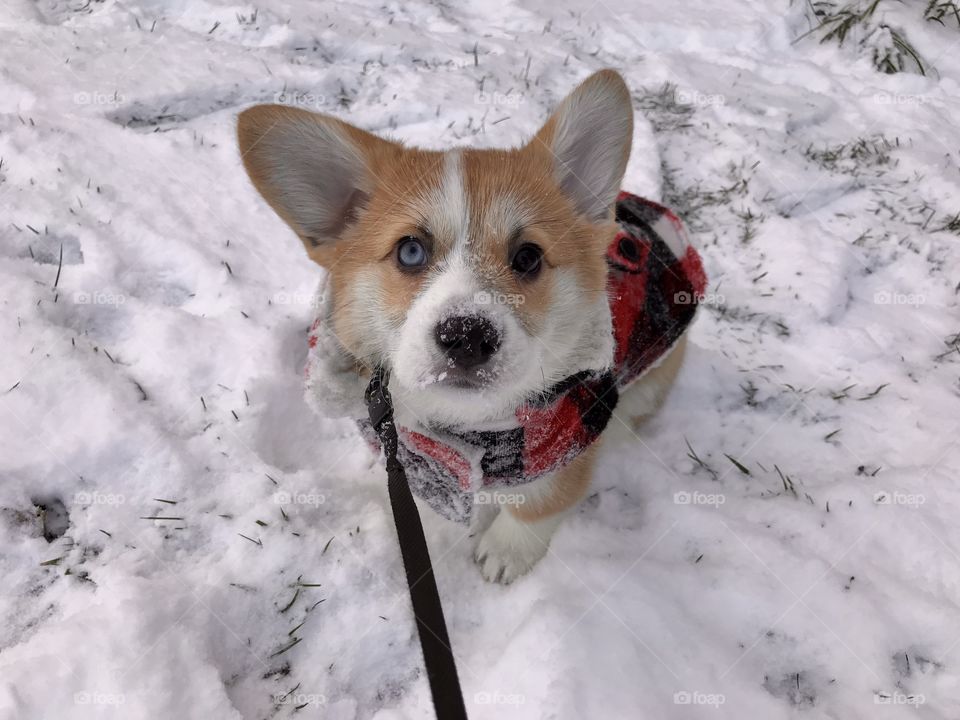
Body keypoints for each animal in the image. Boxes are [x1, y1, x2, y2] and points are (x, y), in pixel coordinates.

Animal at [240, 70, 688, 584]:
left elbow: (540, 504)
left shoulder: (568, 438)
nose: (467, 337)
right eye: (410, 251)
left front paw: (505, 553)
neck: (465, 426)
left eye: (528, 257)